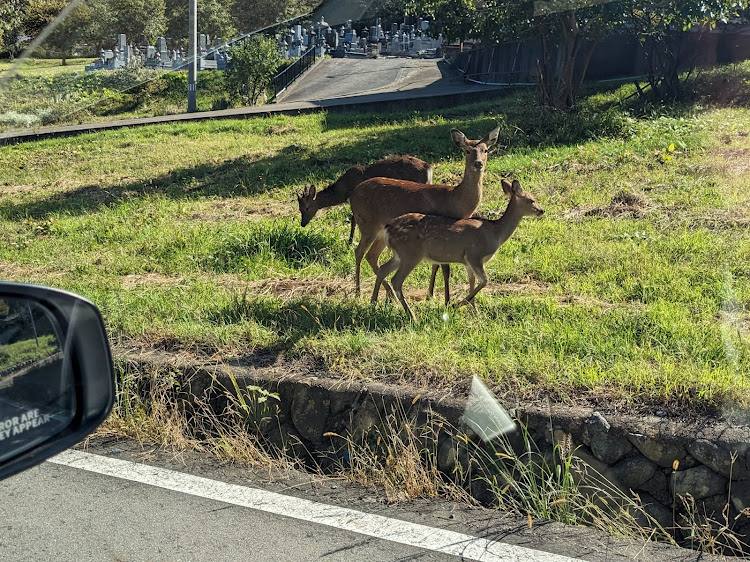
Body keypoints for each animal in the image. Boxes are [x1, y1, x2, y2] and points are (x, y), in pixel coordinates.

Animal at [350, 123, 502, 298]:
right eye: (467, 151)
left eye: (486, 150)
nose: (478, 163)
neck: (455, 200)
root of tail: (352, 195)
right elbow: (445, 268)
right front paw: (445, 298)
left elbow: (436, 264)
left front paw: (431, 294)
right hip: (367, 223)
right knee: (359, 251)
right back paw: (358, 291)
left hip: (381, 231)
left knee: (372, 256)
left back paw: (389, 294)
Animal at [372, 178, 544, 320]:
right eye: (531, 200)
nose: (542, 210)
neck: (495, 232)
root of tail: (388, 228)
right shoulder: (474, 254)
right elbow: (484, 281)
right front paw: (456, 305)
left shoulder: (468, 261)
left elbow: (472, 281)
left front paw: (475, 312)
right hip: (411, 253)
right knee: (396, 279)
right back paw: (412, 316)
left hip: (399, 254)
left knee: (383, 269)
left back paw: (373, 304)